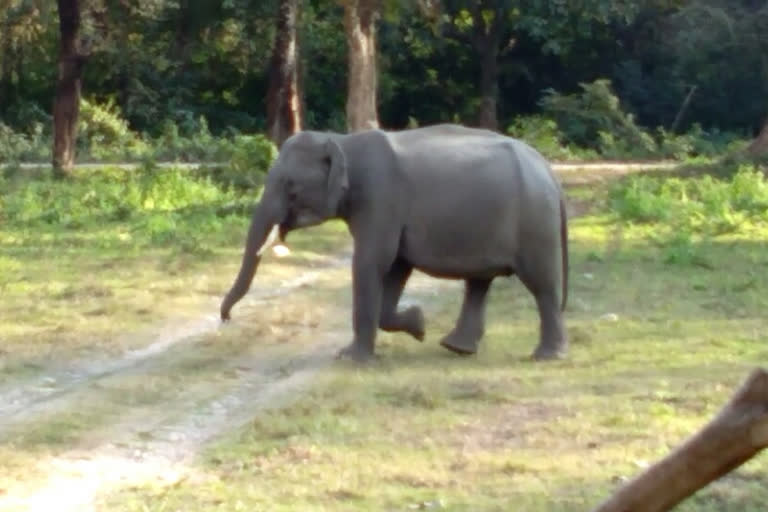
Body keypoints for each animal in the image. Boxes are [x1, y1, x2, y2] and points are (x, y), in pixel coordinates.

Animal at [219, 123, 568, 362]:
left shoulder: (380, 198)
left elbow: (372, 262)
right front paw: (419, 324)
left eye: (290, 186)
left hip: (535, 222)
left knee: (542, 285)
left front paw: (350, 358)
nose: (226, 319)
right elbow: (396, 266)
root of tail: (549, 172)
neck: (342, 141)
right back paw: (456, 347)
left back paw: (545, 356)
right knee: (479, 283)